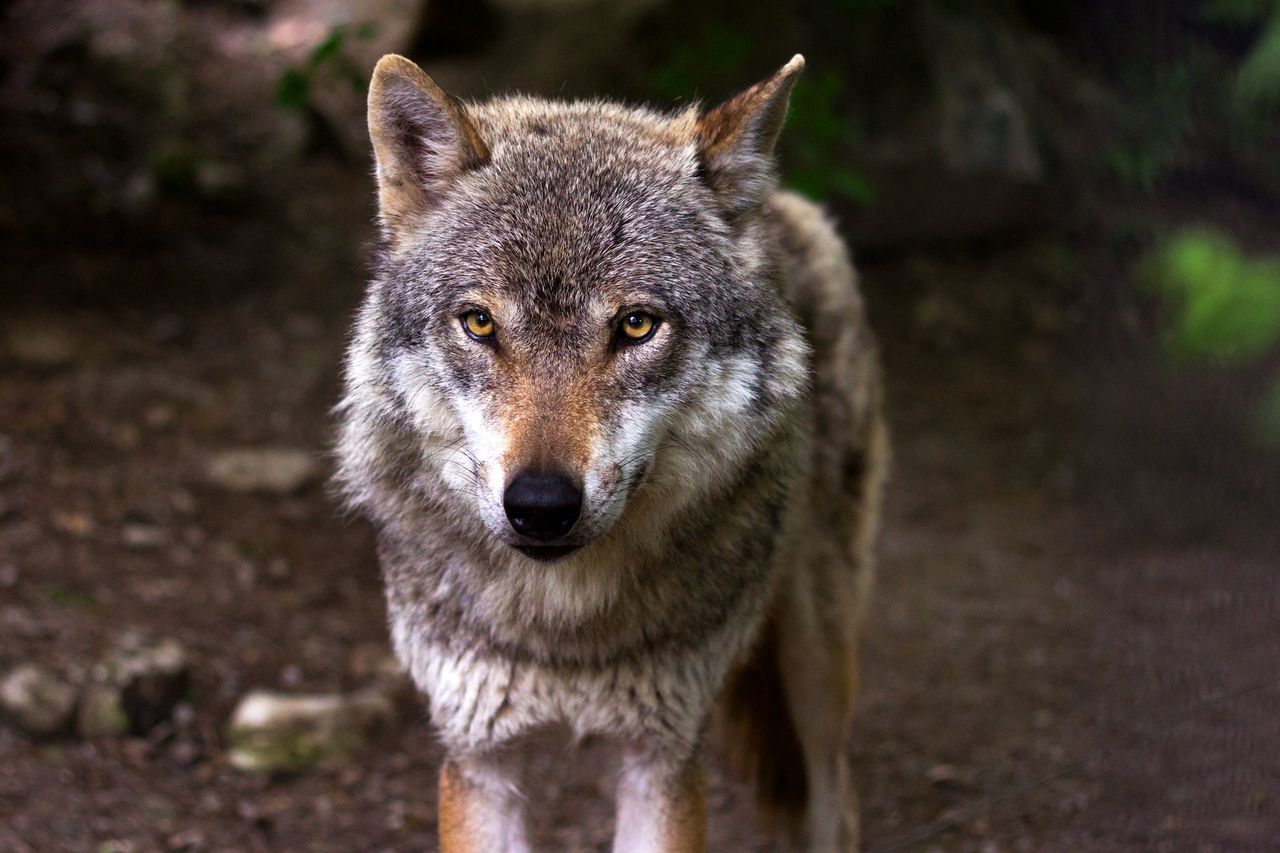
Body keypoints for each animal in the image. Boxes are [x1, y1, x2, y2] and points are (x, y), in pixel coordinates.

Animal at [335, 53, 885, 850]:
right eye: (479, 323)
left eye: (635, 325)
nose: (540, 506)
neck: (565, 629)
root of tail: (779, 204)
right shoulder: (479, 758)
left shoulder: (662, 758)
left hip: (817, 665)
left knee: (837, 800)